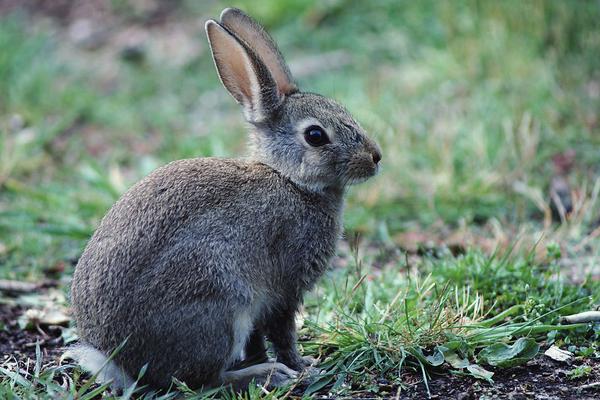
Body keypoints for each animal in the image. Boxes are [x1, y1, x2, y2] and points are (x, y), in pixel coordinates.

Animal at [67, 7, 380, 392]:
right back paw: (266, 374)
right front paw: (304, 367)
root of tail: (118, 361)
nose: (375, 157)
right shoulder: (283, 290)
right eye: (316, 136)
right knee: (200, 380)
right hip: (220, 304)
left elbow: (259, 340)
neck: (290, 181)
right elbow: (283, 334)